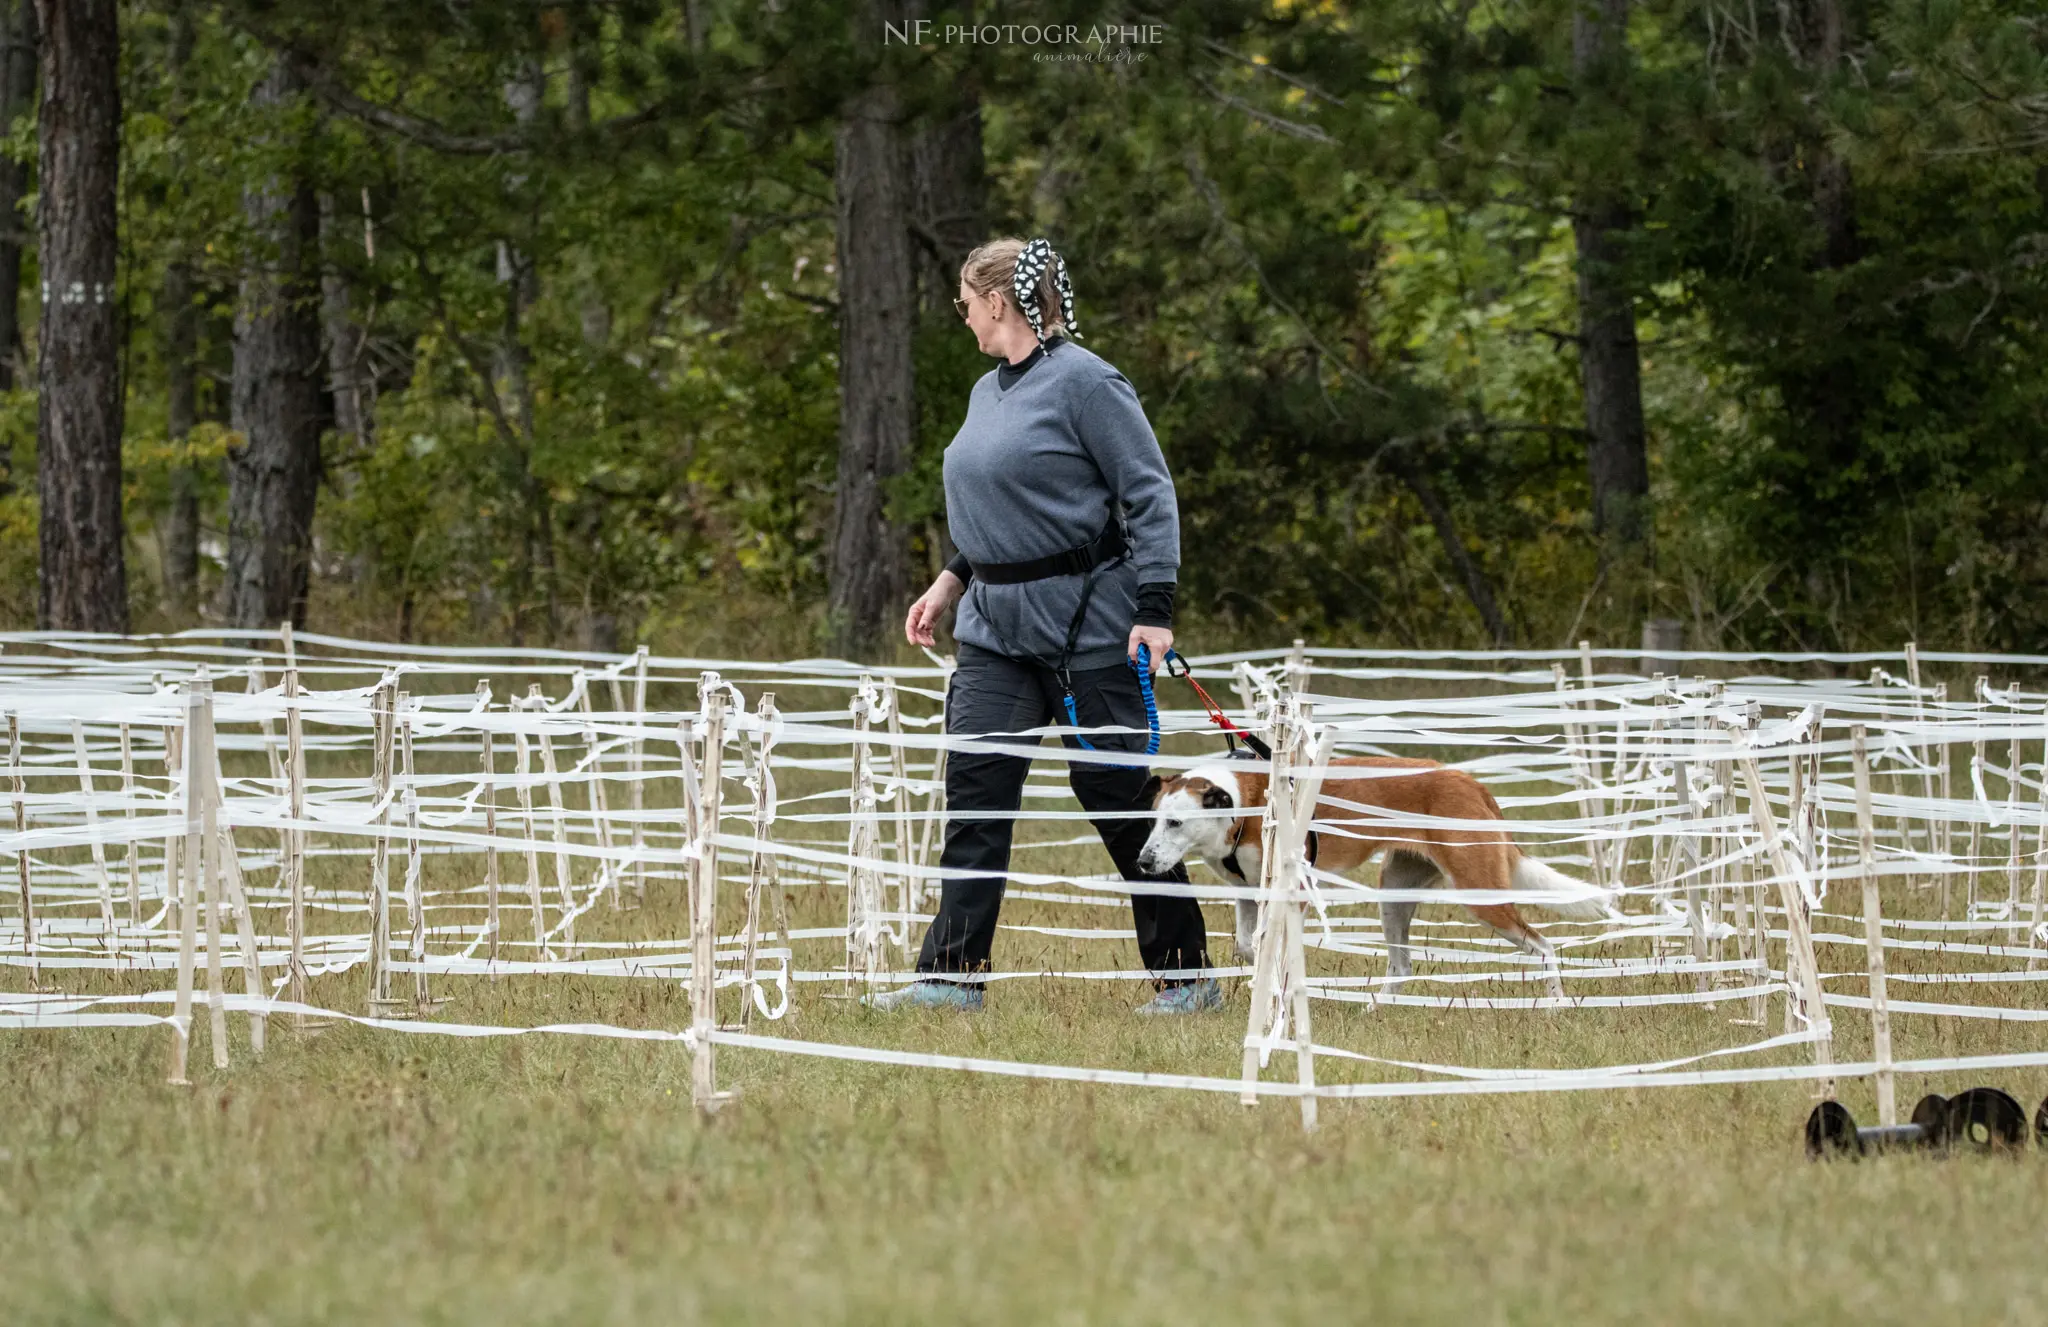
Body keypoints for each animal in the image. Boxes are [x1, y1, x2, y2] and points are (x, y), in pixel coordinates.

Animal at [1138, 757, 1613, 995]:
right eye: (1152, 819)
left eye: (1176, 824)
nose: (1142, 863)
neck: (1244, 803)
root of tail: (1470, 782)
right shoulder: (1248, 892)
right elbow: (1248, 946)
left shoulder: (1296, 892)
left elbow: (1274, 949)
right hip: (1394, 895)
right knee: (1402, 965)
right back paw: (1374, 1010)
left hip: (1481, 894)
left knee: (1544, 945)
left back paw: (1556, 1007)